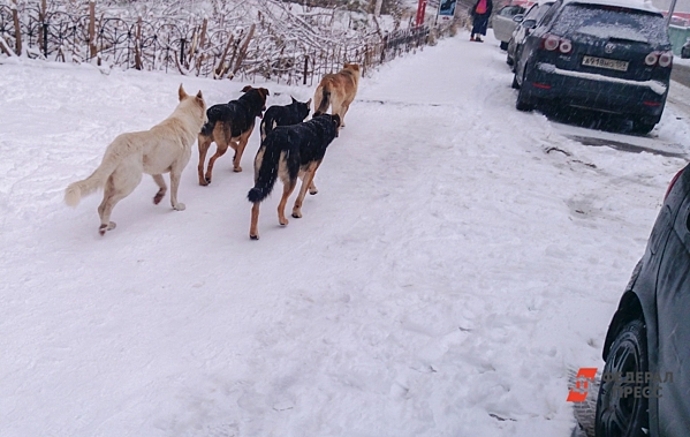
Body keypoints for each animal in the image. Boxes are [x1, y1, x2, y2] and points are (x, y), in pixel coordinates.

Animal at [63, 85, 206, 235]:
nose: (207, 120)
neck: (183, 120)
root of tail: (116, 149)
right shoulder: (176, 172)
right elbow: (173, 194)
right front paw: (176, 206)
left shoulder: (155, 170)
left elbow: (163, 186)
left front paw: (158, 197)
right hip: (131, 183)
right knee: (109, 203)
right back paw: (103, 227)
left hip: (112, 183)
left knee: (101, 206)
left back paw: (107, 225)